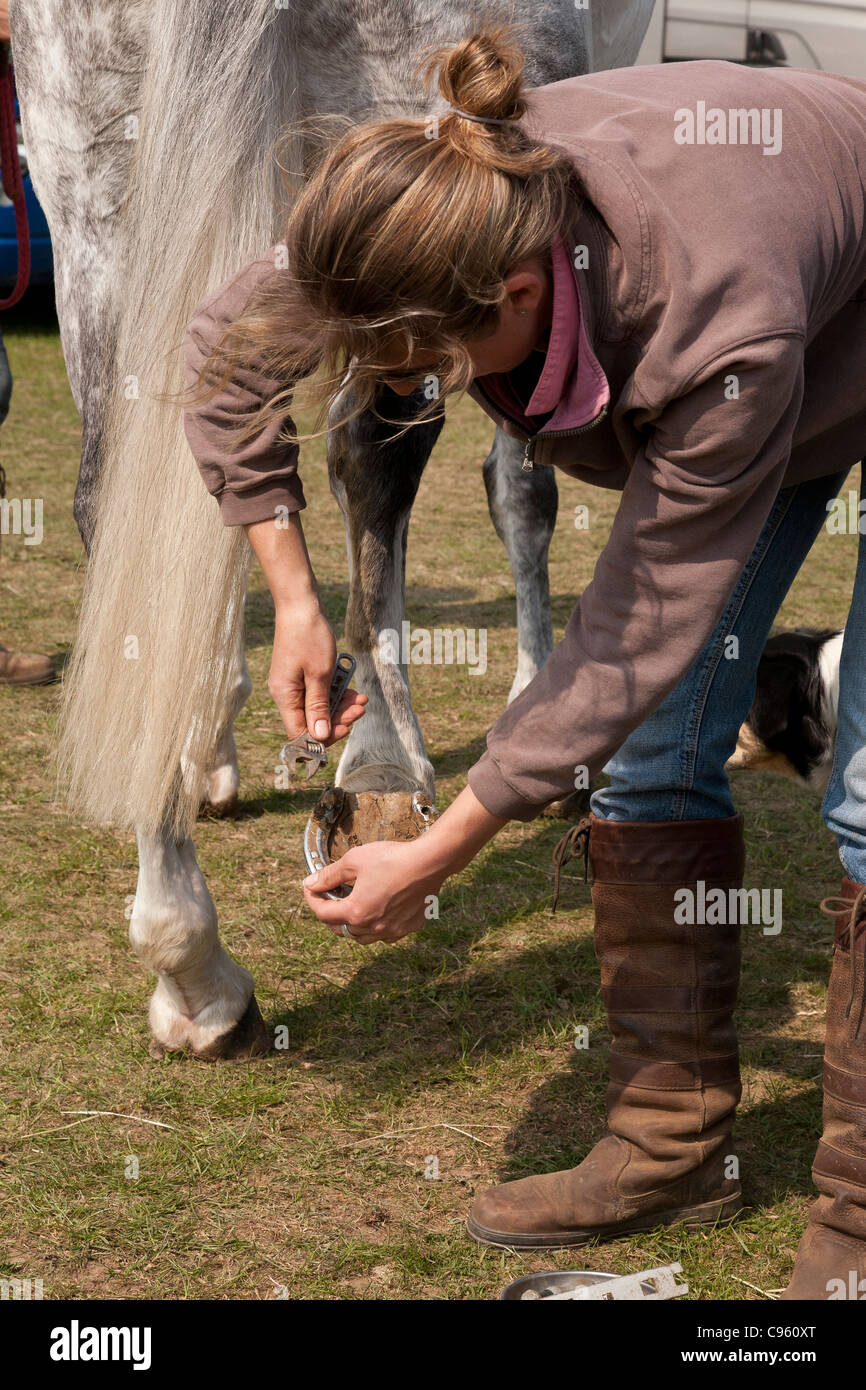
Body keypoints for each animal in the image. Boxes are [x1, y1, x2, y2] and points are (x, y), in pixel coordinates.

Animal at [11, 0, 654, 1058]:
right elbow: (521, 481)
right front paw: (527, 706)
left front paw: (208, 745)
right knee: (376, 458)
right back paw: (372, 776)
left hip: (88, 173)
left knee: (124, 499)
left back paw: (189, 964)